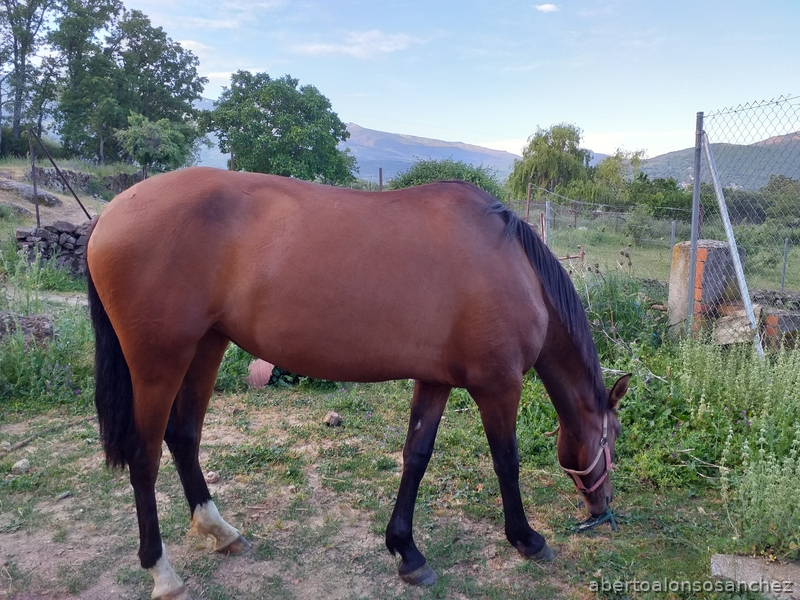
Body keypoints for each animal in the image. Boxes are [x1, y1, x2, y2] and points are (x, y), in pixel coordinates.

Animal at [85, 166, 629, 599]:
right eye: (614, 437)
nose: (602, 508)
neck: (514, 265)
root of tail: (110, 214)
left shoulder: (434, 380)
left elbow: (416, 457)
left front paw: (406, 551)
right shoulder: (498, 386)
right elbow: (506, 463)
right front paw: (527, 539)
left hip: (206, 346)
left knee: (184, 436)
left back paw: (219, 530)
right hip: (158, 362)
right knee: (144, 458)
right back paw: (162, 572)